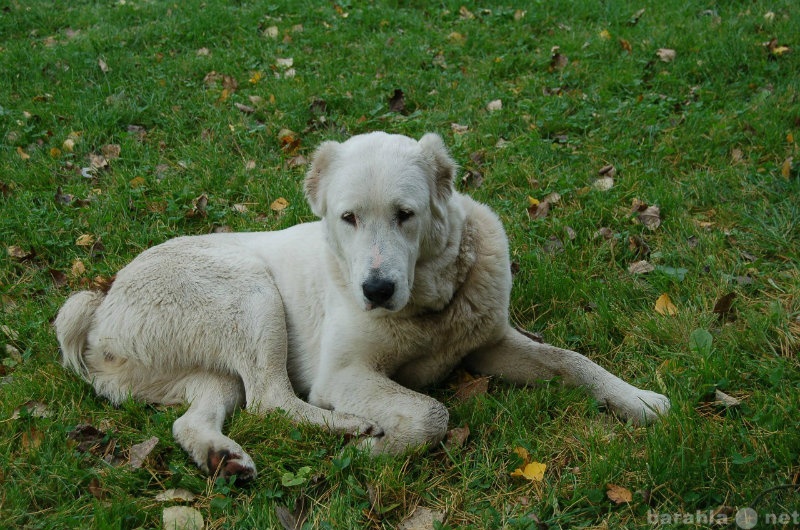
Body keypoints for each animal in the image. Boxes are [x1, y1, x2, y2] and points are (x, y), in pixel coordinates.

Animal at [54, 131, 668, 478]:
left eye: (405, 214)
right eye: (348, 217)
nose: (375, 291)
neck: (429, 308)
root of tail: (101, 306)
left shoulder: (491, 347)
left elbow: (572, 360)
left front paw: (638, 400)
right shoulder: (344, 373)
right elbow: (432, 413)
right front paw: (380, 451)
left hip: (209, 369)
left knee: (201, 416)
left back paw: (220, 457)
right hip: (251, 291)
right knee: (272, 400)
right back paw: (352, 429)